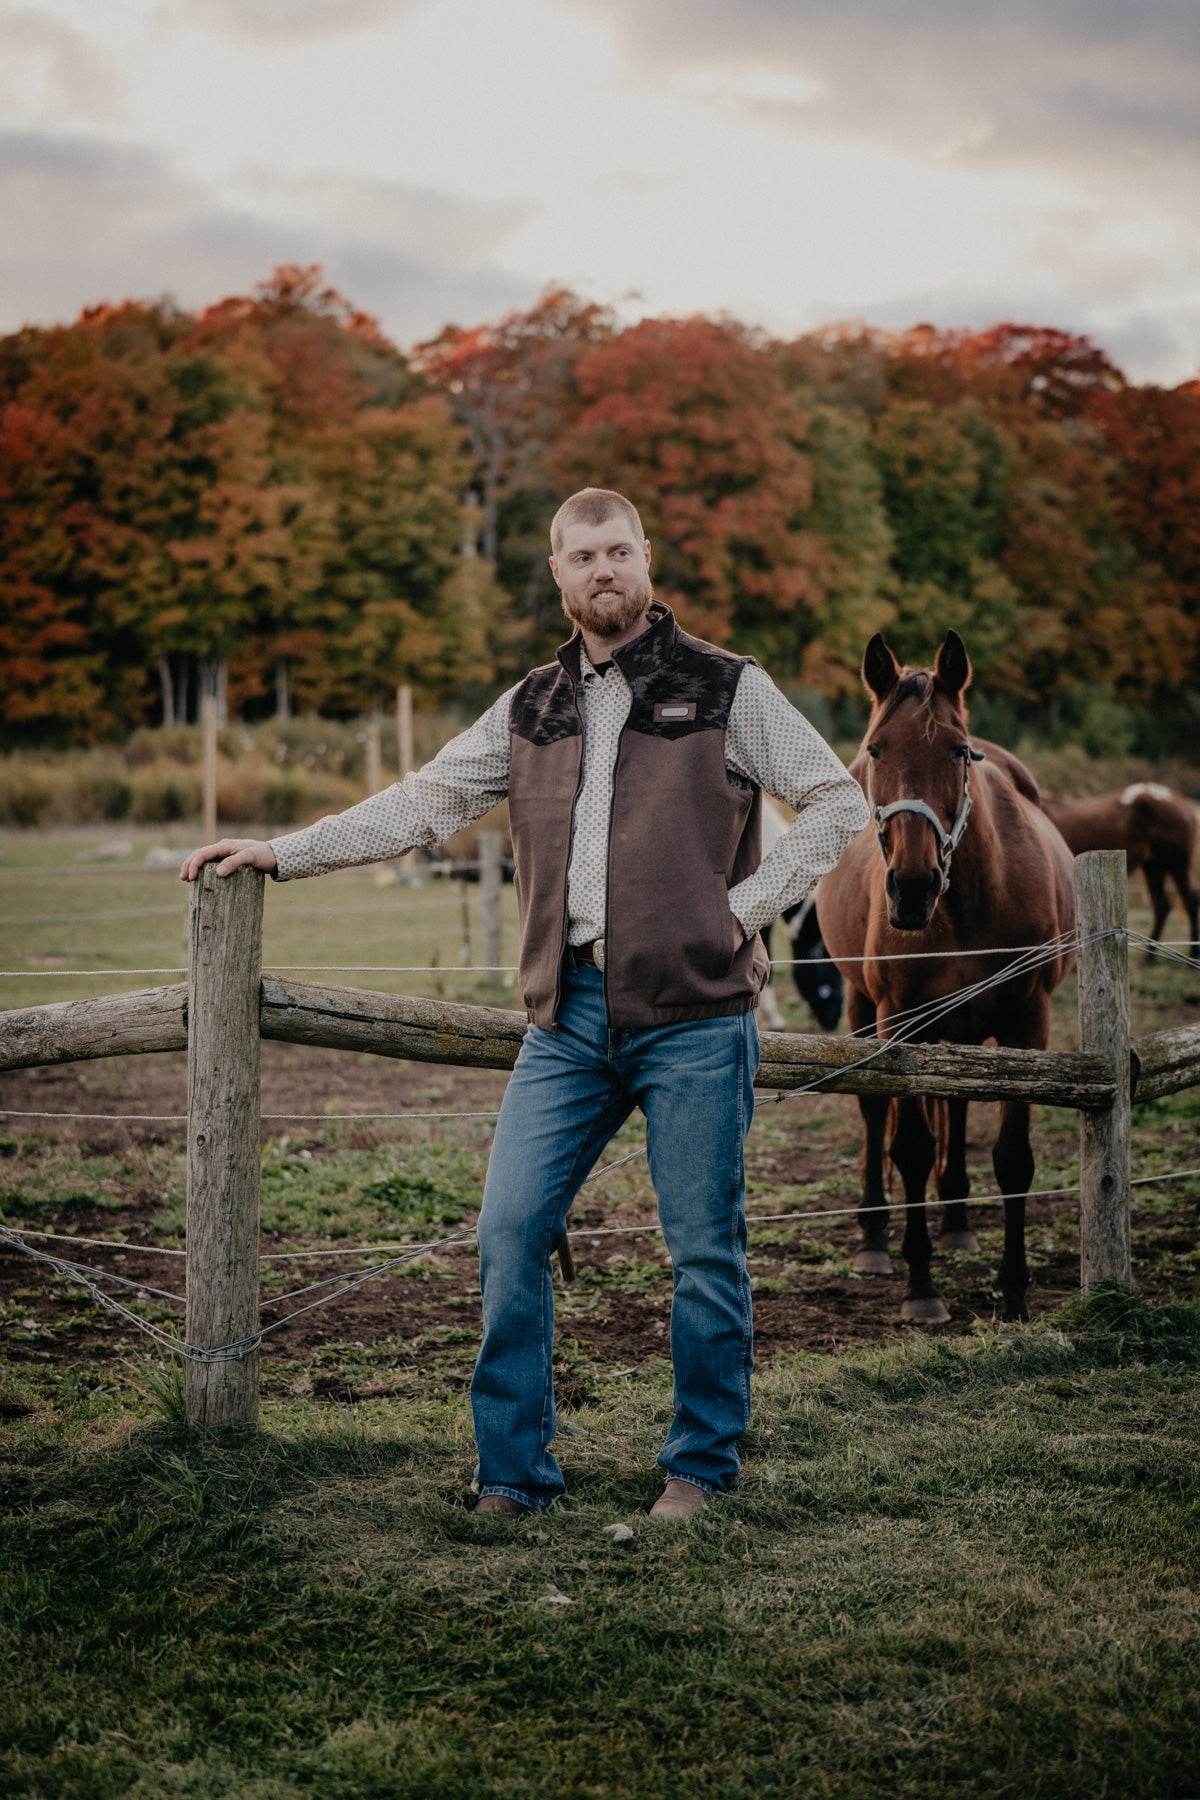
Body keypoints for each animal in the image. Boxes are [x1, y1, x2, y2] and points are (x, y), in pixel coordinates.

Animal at [820, 633, 1072, 1324]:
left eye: (959, 751)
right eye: (877, 749)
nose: (912, 887)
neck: (964, 907)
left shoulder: (1027, 1025)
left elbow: (1012, 1159)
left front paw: (1013, 1290)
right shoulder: (900, 1025)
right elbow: (907, 1145)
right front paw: (920, 1286)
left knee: (955, 1106)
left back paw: (956, 1220)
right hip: (864, 1007)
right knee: (876, 1111)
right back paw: (876, 1239)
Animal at [1036, 784, 1194, 957]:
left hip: (1177, 865)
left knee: (1190, 900)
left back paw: (1192, 953)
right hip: (1155, 867)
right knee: (1162, 906)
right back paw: (1148, 957)